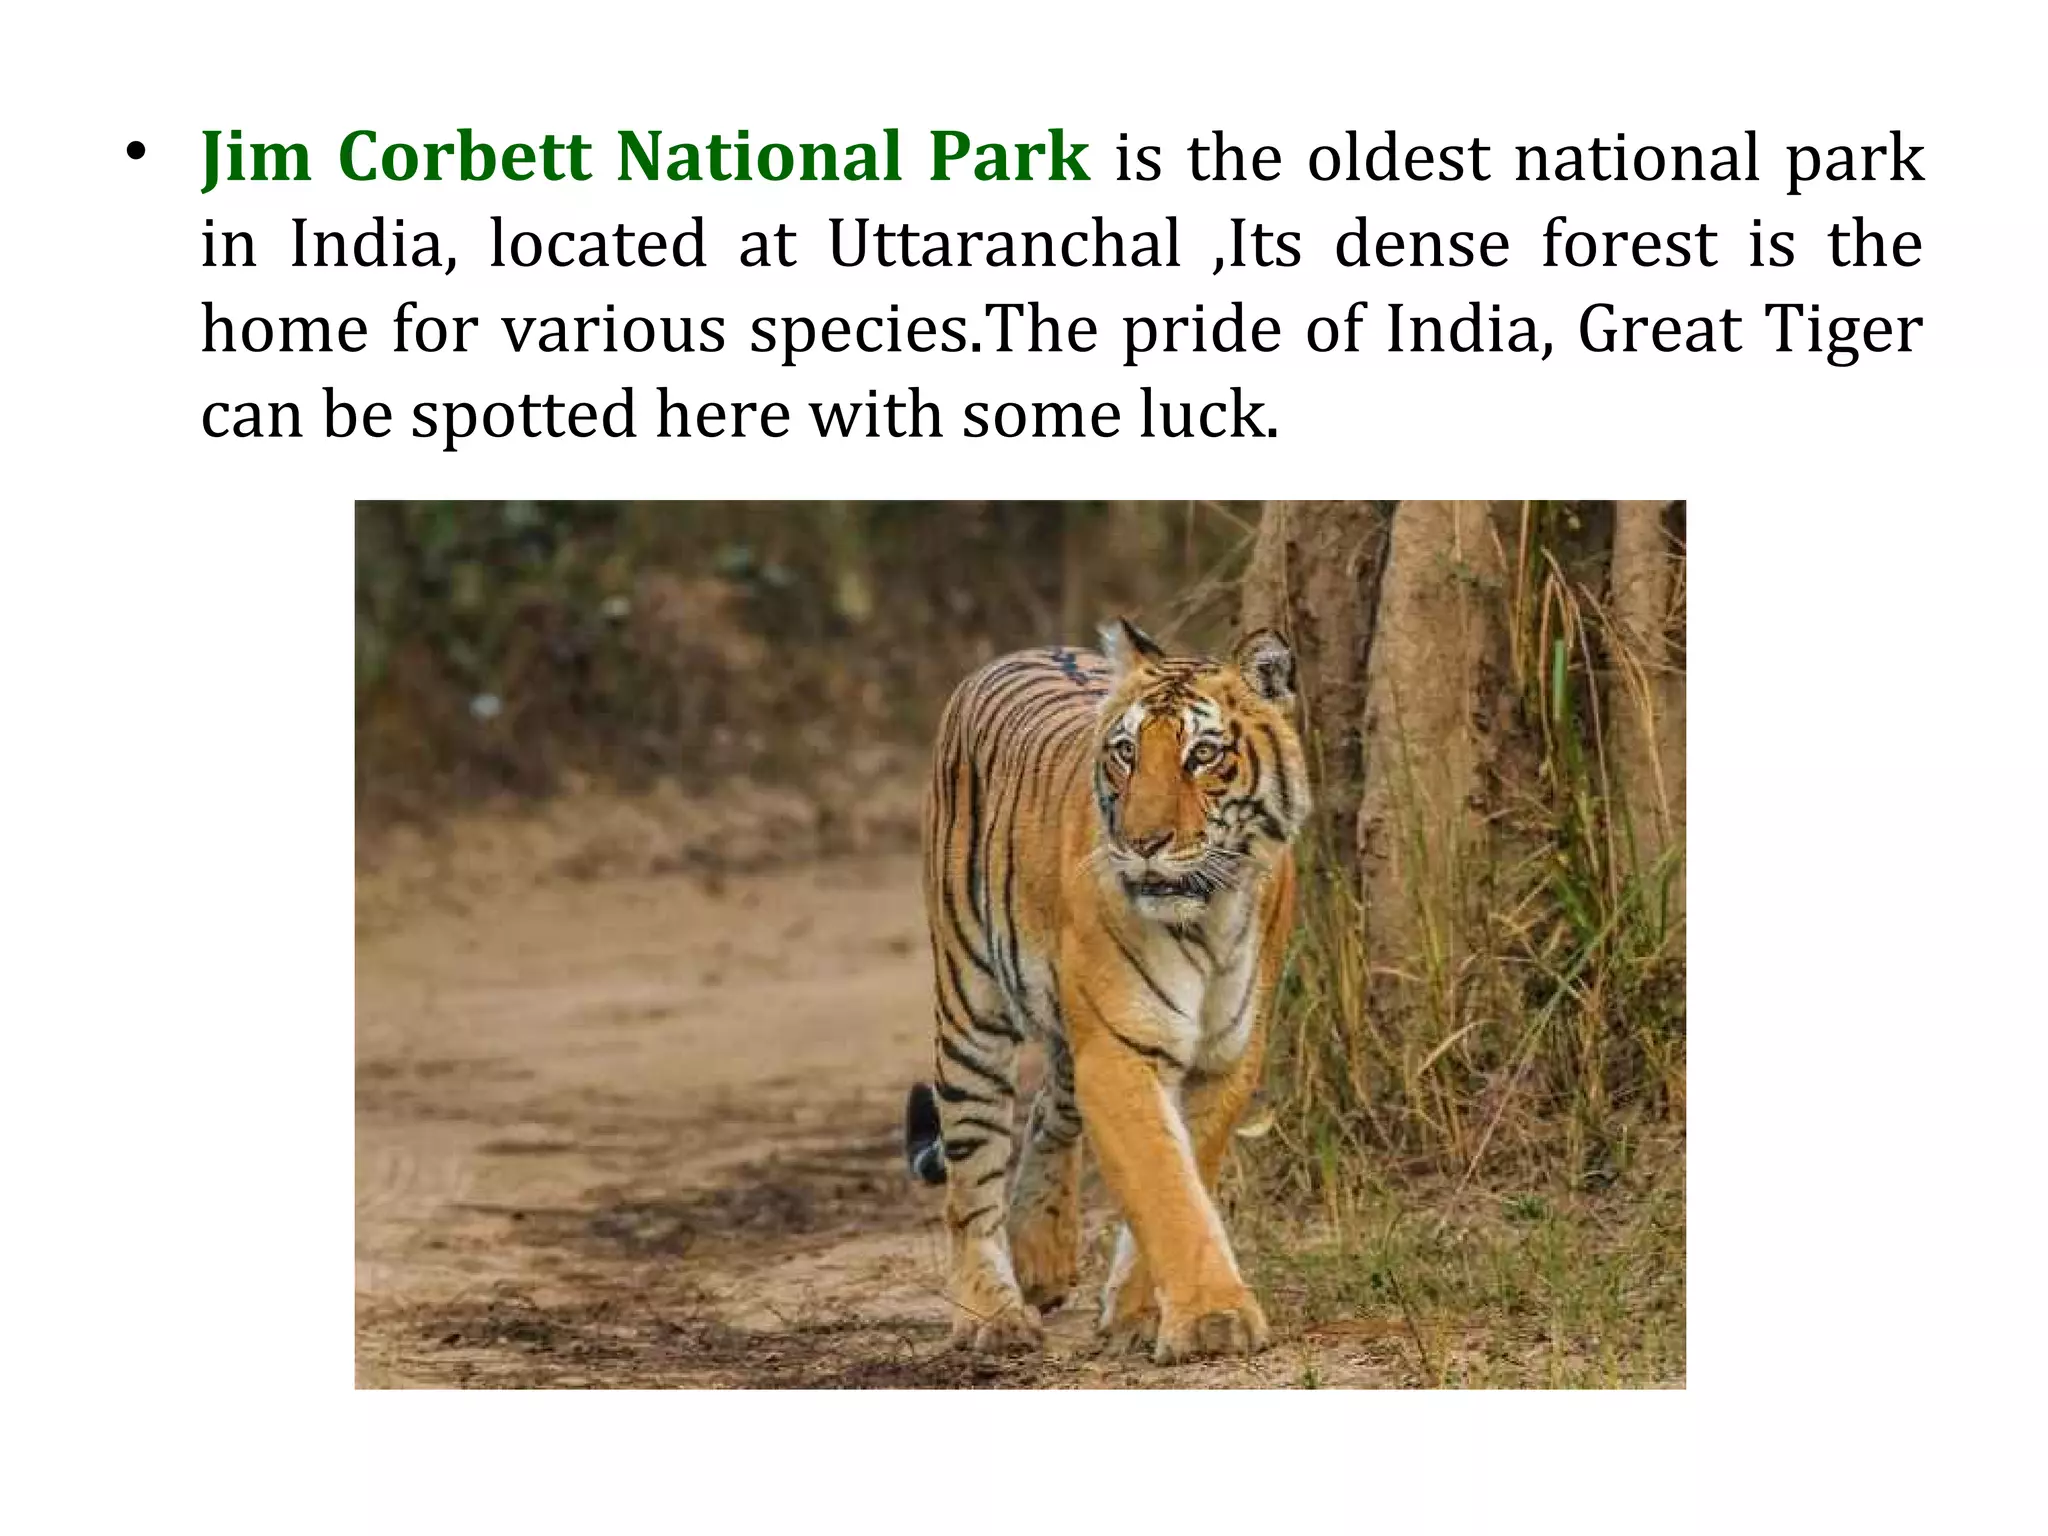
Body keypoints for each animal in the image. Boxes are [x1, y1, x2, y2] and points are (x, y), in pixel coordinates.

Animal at [902, 617, 1309, 1364]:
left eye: (1203, 754)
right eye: (1125, 753)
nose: (1143, 842)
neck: (1208, 917)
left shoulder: (1227, 1056)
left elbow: (1186, 1172)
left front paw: (1140, 1311)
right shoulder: (1120, 1052)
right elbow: (1164, 1184)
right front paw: (1213, 1319)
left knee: (1049, 1110)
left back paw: (1040, 1255)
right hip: (970, 1005)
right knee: (971, 1177)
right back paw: (992, 1314)